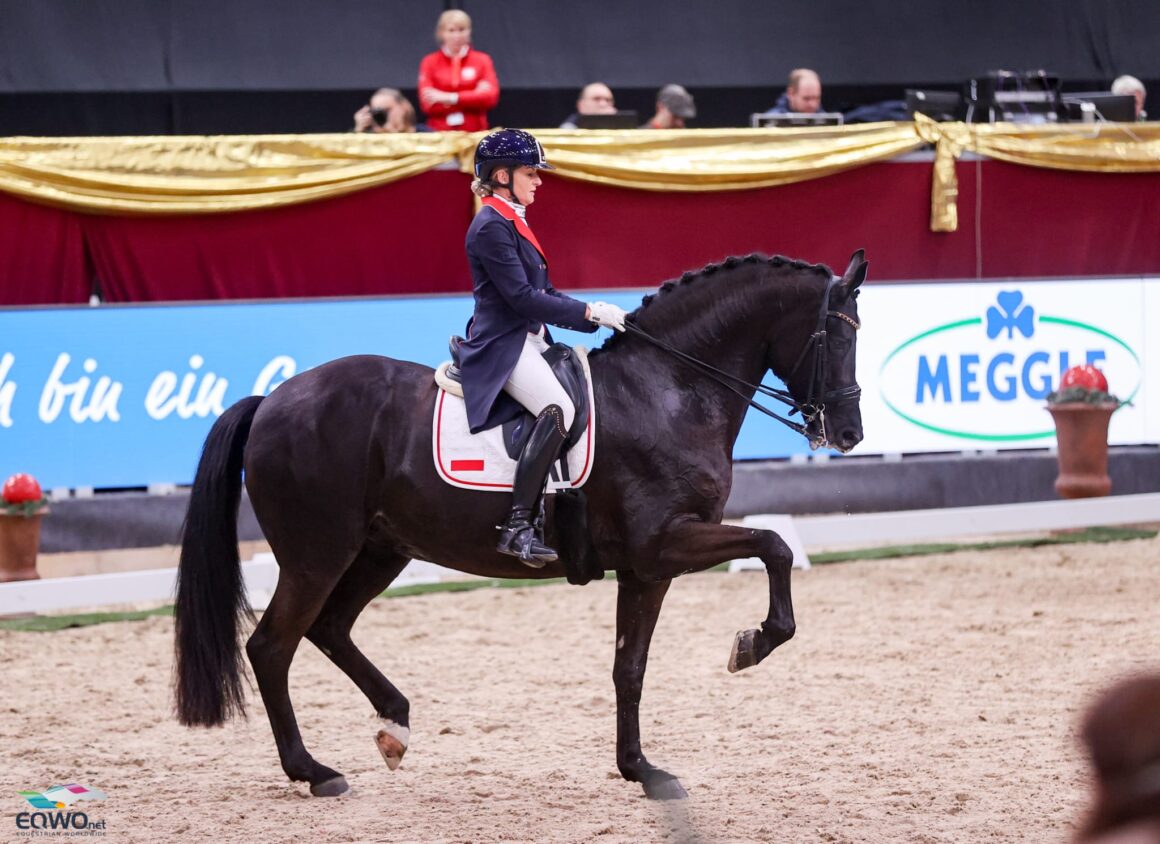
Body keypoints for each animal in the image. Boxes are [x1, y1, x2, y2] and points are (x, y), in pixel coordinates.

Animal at [169, 249, 863, 797]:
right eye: (837, 335)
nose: (849, 434)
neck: (666, 390)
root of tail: (272, 400)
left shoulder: (646, 569)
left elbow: (629, 667)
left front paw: (641, 771)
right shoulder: (663, 545)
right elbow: (773, 544)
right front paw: (752, 644)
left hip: (380, 549)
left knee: (330, 629)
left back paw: (394, 726)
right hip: (317, 554)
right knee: (271, 646)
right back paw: (314, 772)